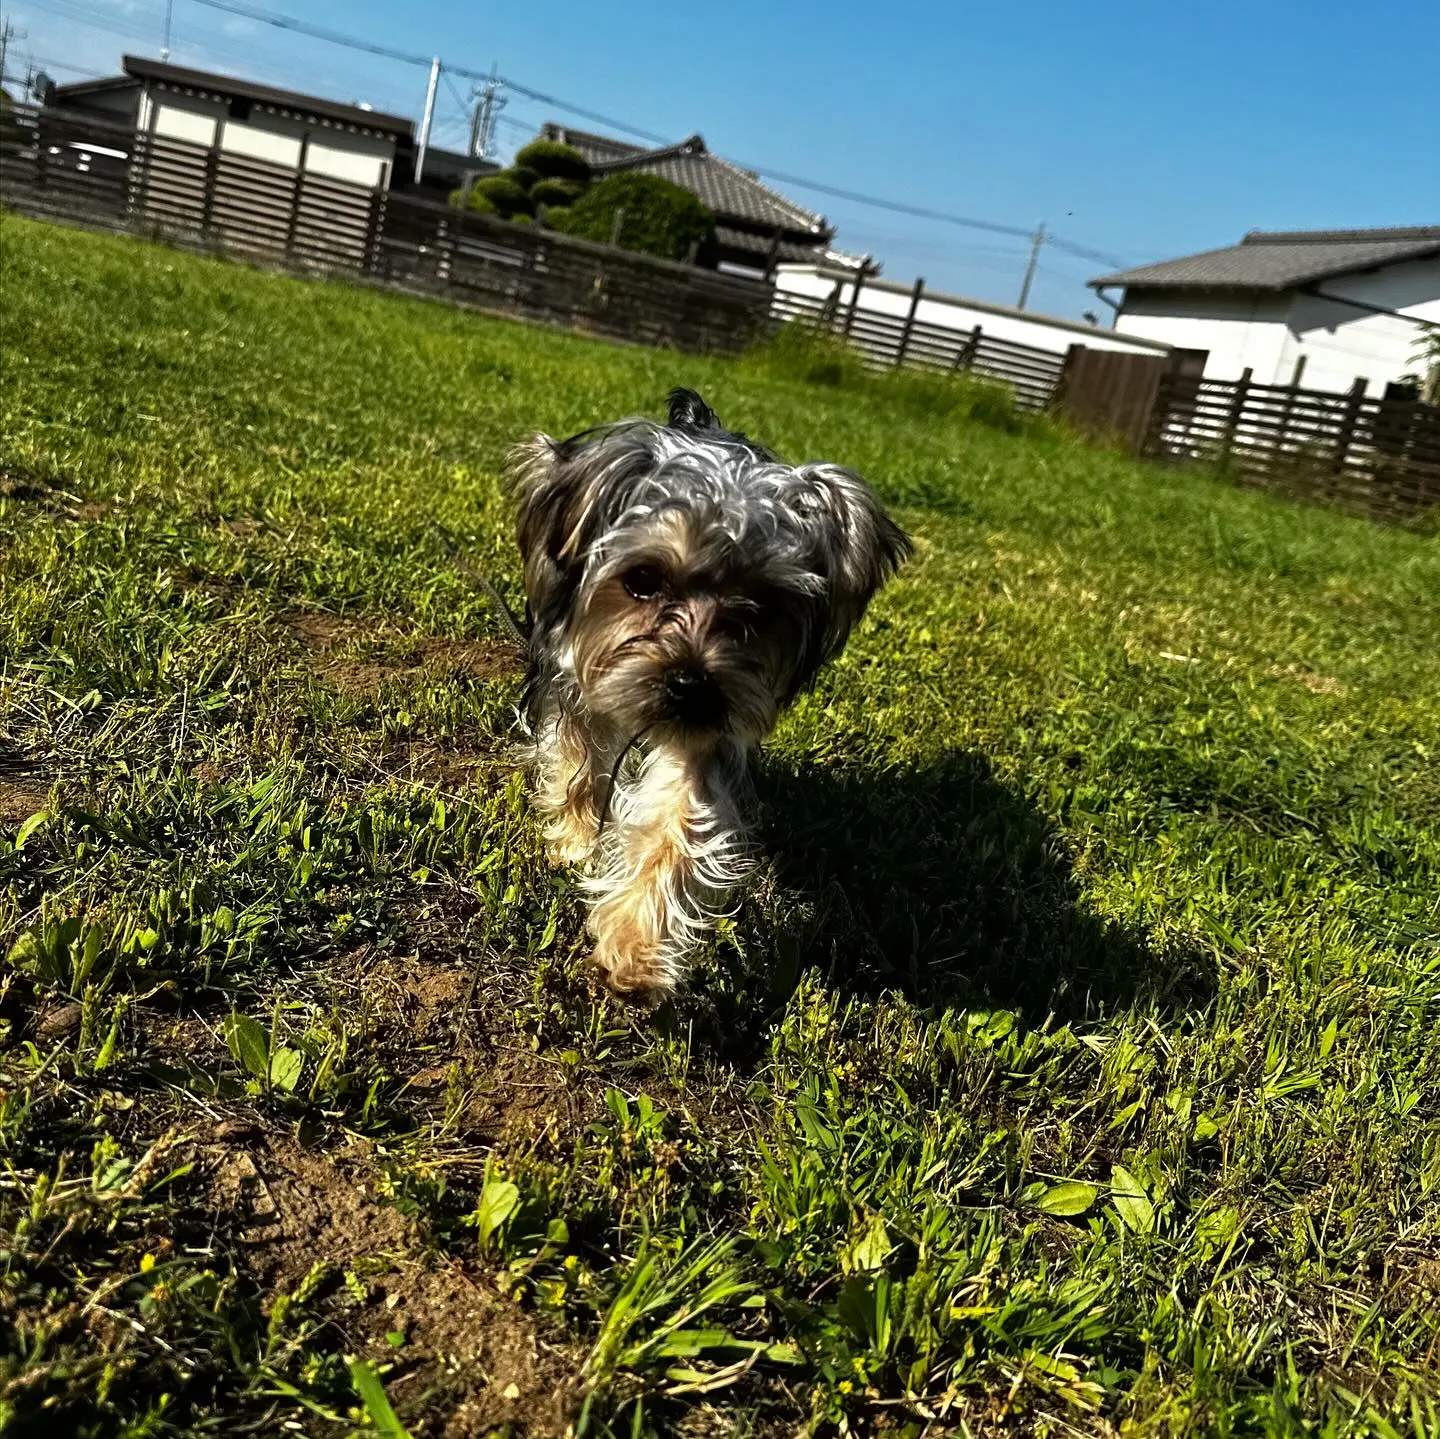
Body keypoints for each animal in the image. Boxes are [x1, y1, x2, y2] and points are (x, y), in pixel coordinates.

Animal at [512, 391, 904, 1002]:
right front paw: (575, 842)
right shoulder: (572, 675)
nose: (689, 683)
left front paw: (635, 947)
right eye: (642, 579)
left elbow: (678, 823)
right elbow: (578, 762)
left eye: (762, 605)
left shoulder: (709, 728)